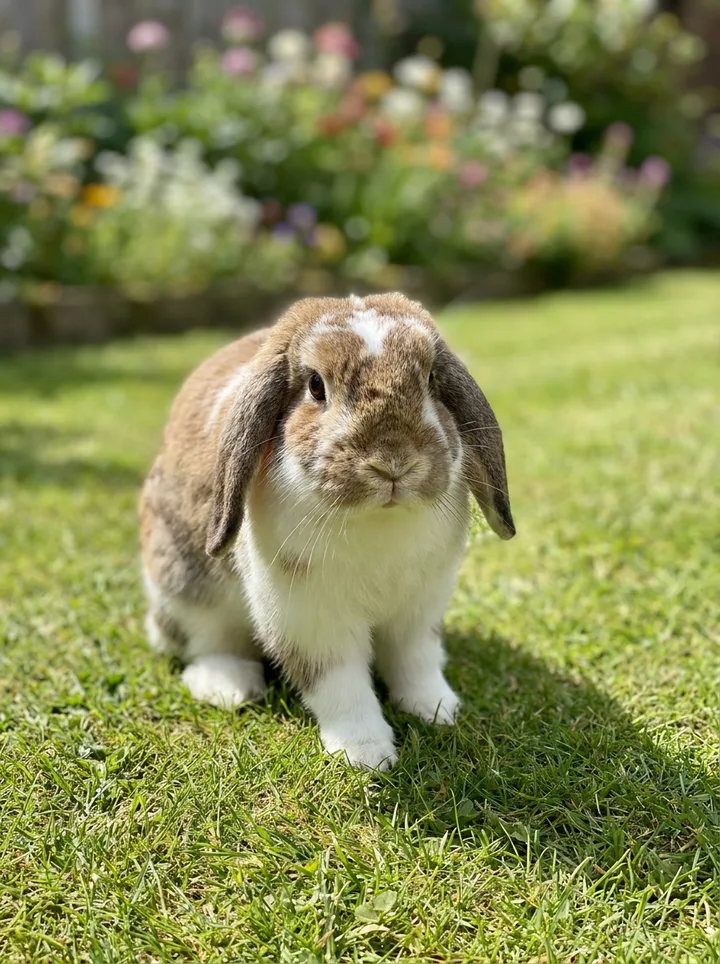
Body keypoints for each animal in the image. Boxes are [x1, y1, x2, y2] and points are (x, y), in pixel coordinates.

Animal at [139, 293, 515, 769]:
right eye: (316, 386)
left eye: (431, 379)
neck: (377, 521)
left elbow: (417, 661)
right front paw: (367, 753)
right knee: (207, 642)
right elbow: (340, 685)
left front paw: (437, 709)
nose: (393, 462)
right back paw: (229, 686)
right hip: (185, 585)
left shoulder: (419, 610)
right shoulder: (310, 621)